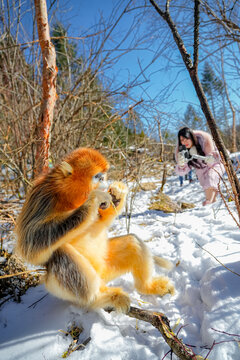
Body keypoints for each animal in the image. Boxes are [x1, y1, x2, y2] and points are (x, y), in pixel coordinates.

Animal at [16, 148, 174, 310]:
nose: (105, 183)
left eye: (103, 177)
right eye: (98, 178)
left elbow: (102, 220)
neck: (68, 196)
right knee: (62, 254)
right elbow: (30, 247)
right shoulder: (42, 198)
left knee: (133, 242)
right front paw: (94, 199)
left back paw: (148, 287)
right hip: (57, 285)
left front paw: (117, 193)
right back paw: (100, 298)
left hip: (105, 269)